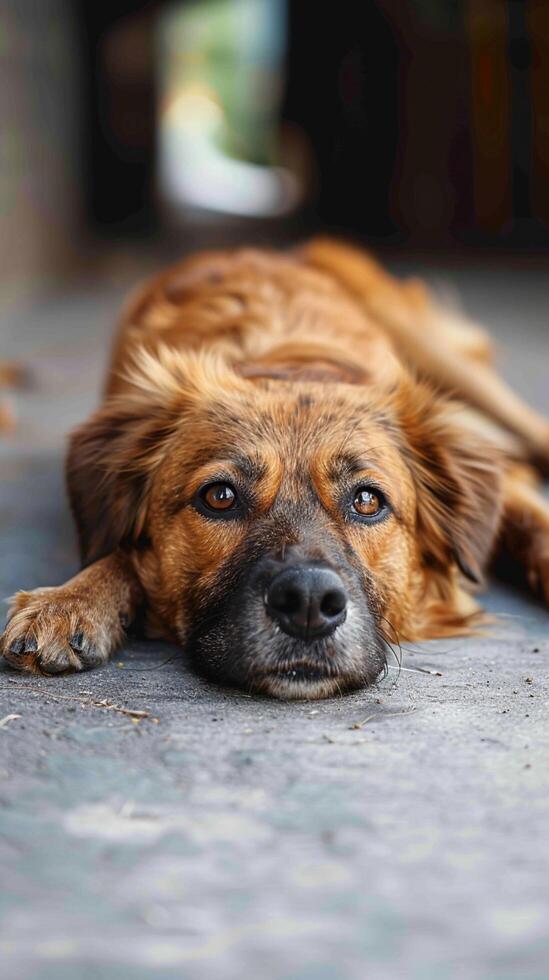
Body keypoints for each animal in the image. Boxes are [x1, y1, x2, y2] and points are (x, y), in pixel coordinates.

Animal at [1, 237, 548, 696]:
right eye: (219, 496)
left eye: (367, 500)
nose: (308, 602)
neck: (286, 360)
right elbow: (118, 552)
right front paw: (72, 600)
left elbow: (528, 512)